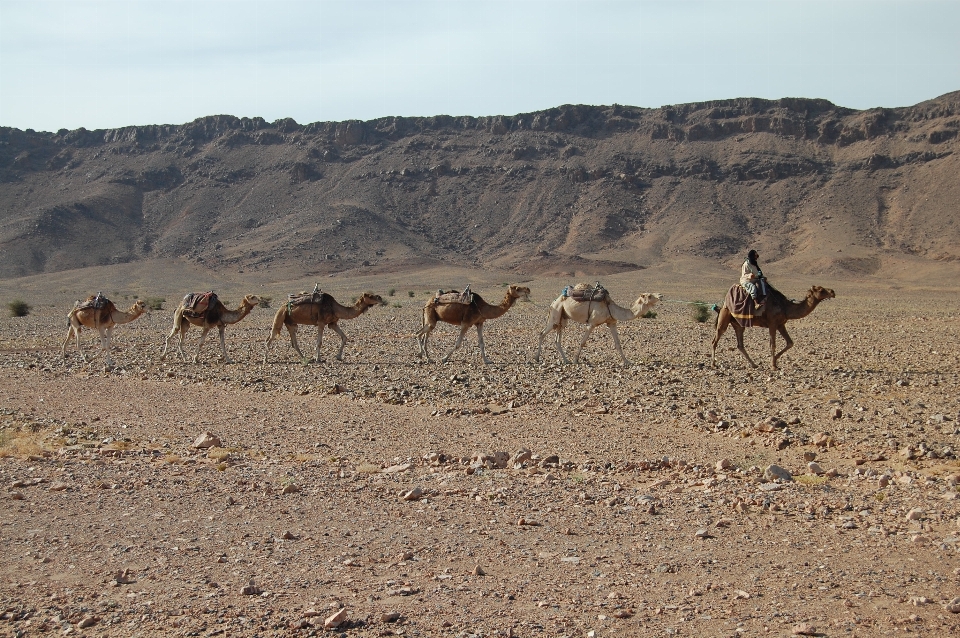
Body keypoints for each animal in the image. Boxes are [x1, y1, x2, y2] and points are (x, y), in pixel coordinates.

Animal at [708, 284, 836, 370]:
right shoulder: (772, 323)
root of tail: (723, 304)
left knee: (740, 345)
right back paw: (713, 364)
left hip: (738, 324)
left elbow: (790, 343)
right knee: (715, 340)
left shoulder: (781, 324)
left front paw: (775, 361)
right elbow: (773, 344)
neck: (785, 307)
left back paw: (754, 364)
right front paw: (773, 365)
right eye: (821, 290)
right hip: (724, 318)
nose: (833, 291)